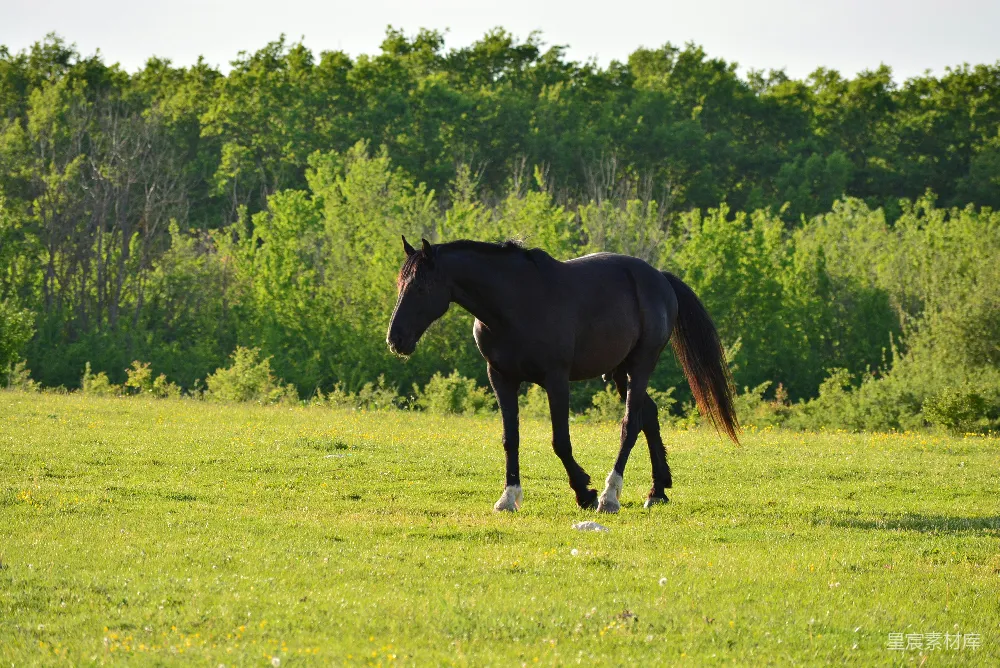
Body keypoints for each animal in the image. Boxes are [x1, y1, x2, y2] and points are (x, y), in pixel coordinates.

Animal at [387, 237, 740, 513]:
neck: (514, 303)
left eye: (421, 286)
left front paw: (585, 492)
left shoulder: (556, 380)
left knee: (631, 424)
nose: (396, 339)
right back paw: (658, 490)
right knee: (648, 416)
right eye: (400, 284)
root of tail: (660, 279)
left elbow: (560, 441)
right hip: (620, 370)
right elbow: (510, 438)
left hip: (641, 365)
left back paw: (610, 496)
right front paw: (508, 497)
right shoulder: (501, 379)